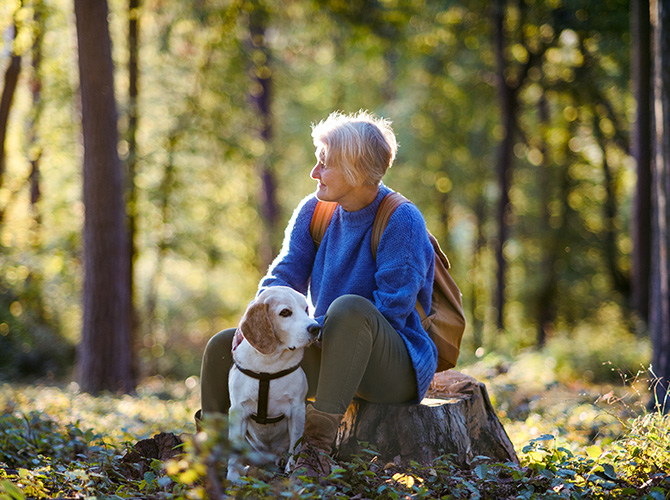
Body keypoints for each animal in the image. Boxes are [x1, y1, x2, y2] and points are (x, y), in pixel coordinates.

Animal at [227, 286, 322, 480]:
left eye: (306, 309)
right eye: (285, 312)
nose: (316, 328)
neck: (269, 365)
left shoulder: (297, 409)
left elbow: (295, 445)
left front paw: (291, 468)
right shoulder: (237, 410)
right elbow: (234, 450)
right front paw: (232, 476)